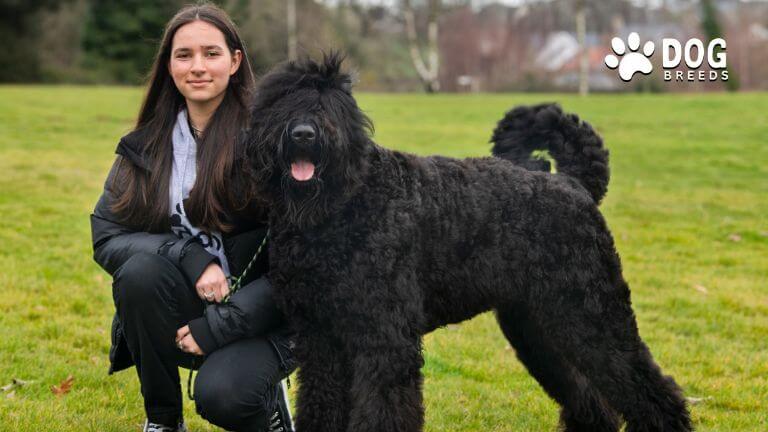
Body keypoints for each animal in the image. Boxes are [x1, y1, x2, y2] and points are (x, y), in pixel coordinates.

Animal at [243, 54, 692, 432]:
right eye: (281, 100)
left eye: (332, 103)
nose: (303, 133)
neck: (342, 205)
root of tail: (574, 183)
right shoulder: (320, 341)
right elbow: (320, 405)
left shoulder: (384, 340)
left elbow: (382, 411)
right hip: (539, 327)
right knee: (588, 398)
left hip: (592, 316)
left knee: (651, 390)